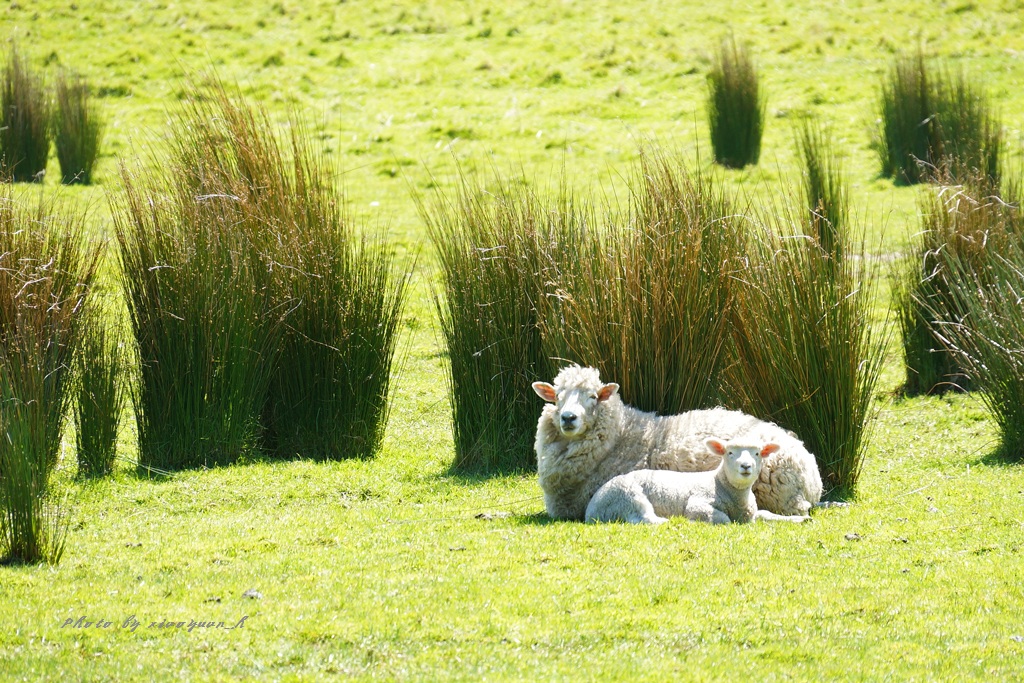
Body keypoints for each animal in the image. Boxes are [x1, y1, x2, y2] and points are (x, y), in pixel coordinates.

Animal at [589, 436, 811, 528]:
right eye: (729, 453)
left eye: (757, 453)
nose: (746, 466)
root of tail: (590, 510)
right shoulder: (698, 503)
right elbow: (724, 519)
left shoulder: (751, 514)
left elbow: (766, 515)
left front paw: (800, 519)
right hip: (628, 496)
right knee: (644, 519)